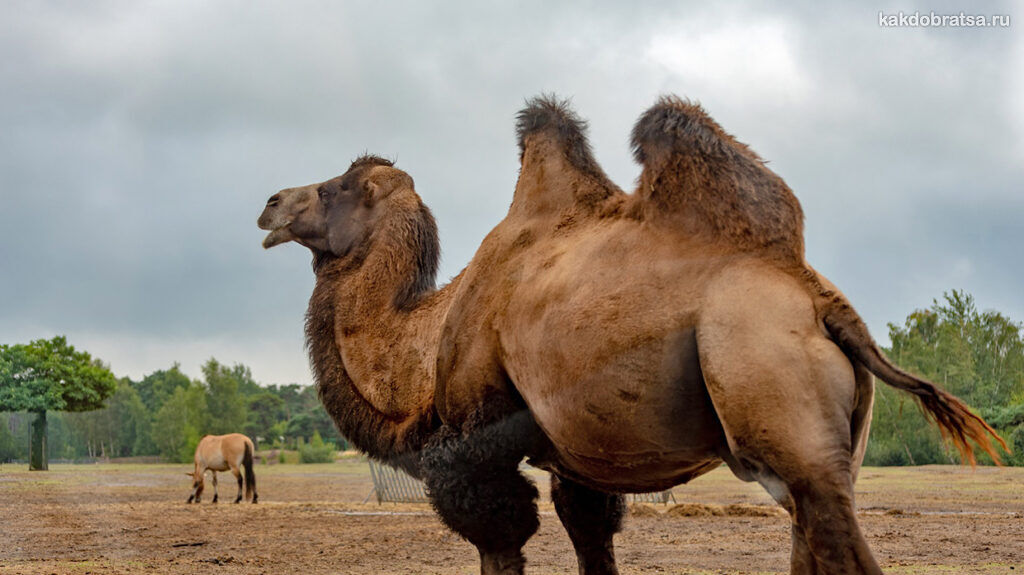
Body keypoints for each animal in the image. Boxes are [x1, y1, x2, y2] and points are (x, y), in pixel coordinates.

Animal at [256, 96, 999, 568]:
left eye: (336, 187)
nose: (270, 203)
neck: (422, 349)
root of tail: (821, 299)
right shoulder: (579, 465)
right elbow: (592, 540)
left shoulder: (475, 449)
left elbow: (501, 539)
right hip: (825, 444)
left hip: (771, 386)